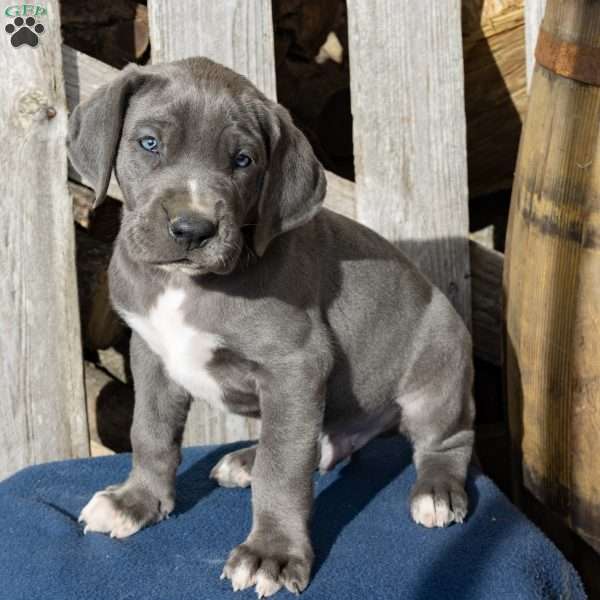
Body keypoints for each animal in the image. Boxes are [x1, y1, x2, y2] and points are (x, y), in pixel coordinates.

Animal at [69, 55, 474, 596]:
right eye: (149, 143)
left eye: (243, 160)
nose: (192, 230)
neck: (186, 284)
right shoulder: (151, 353)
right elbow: (150, 431)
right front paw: (137, 501)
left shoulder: (294, 367)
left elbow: (282, 472)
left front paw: (271, 554)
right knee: (318, 442)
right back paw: (247, 459)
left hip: (439, 365)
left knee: (446, 440)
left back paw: (436, 491)